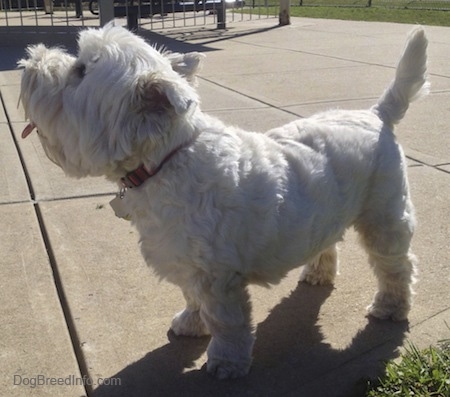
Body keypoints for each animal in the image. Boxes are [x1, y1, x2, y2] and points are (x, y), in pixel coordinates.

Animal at [19, 24, 428, 378]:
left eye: (80, 70)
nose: (32, 57)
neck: (166, 160)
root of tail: (376, 115)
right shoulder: (187, 263)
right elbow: (192, 299)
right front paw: (190, 322)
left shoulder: (217, 276)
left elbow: (226, 321)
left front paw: (226, 362)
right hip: (326, 212)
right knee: (328, 240)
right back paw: (317, 272)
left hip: (385, 215)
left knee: (396, 266)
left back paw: (390, 306)